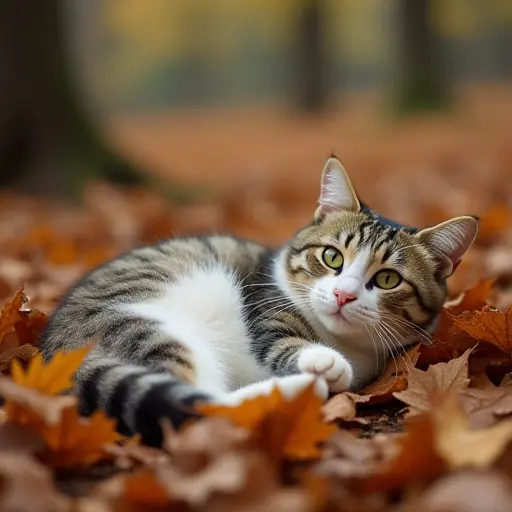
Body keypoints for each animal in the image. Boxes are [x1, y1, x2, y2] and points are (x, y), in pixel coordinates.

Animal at [40, 158, 476, 446]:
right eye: (332, 257)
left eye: (386, 279)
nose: (343, 294)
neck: (341, 341)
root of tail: (54, 356)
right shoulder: (265, 307)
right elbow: (281, 339)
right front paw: (322, 362)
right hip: (148, 327)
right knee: (204, 406)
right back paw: (300, 388)